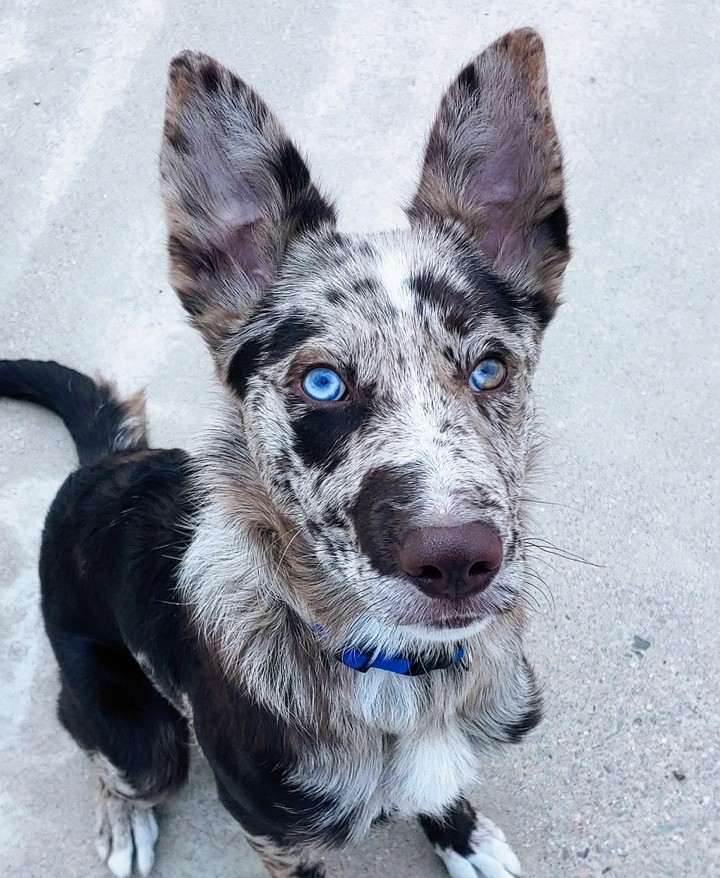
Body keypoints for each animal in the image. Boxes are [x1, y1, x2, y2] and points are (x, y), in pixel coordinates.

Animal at [2, 27, 572, 878]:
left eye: (489, 369)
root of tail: (98, 465)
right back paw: (124, 819)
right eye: (324, 382)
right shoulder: (275, 836)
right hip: (144, 738)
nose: (457, 562)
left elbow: (444, 790)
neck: (404, 677)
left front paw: (463, 838)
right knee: (110, 755)